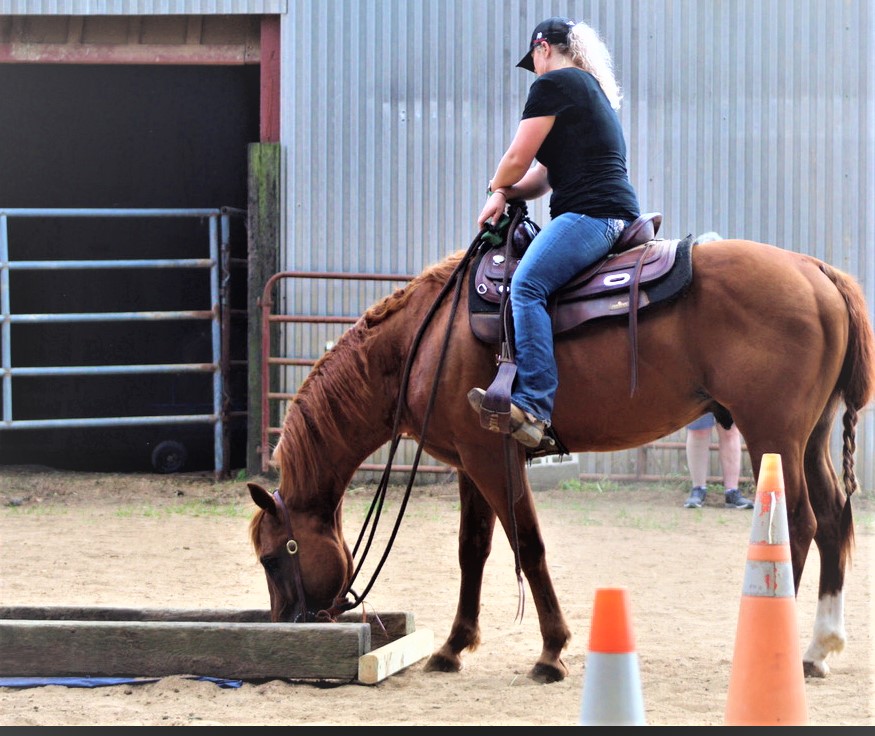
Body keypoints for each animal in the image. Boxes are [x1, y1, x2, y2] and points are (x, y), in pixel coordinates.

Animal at [248, 236, 875, 684]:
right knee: (833, 518)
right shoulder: (470, 462)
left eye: (275, 556)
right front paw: (453, 647)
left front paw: (550, 652)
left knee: (799, 525)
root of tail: (818, 271)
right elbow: (472, 550)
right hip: (809, 437)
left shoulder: (493, 458)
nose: (288, 625)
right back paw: (818, 650)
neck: (423, 341)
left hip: (773, 436)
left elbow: (527, 543)